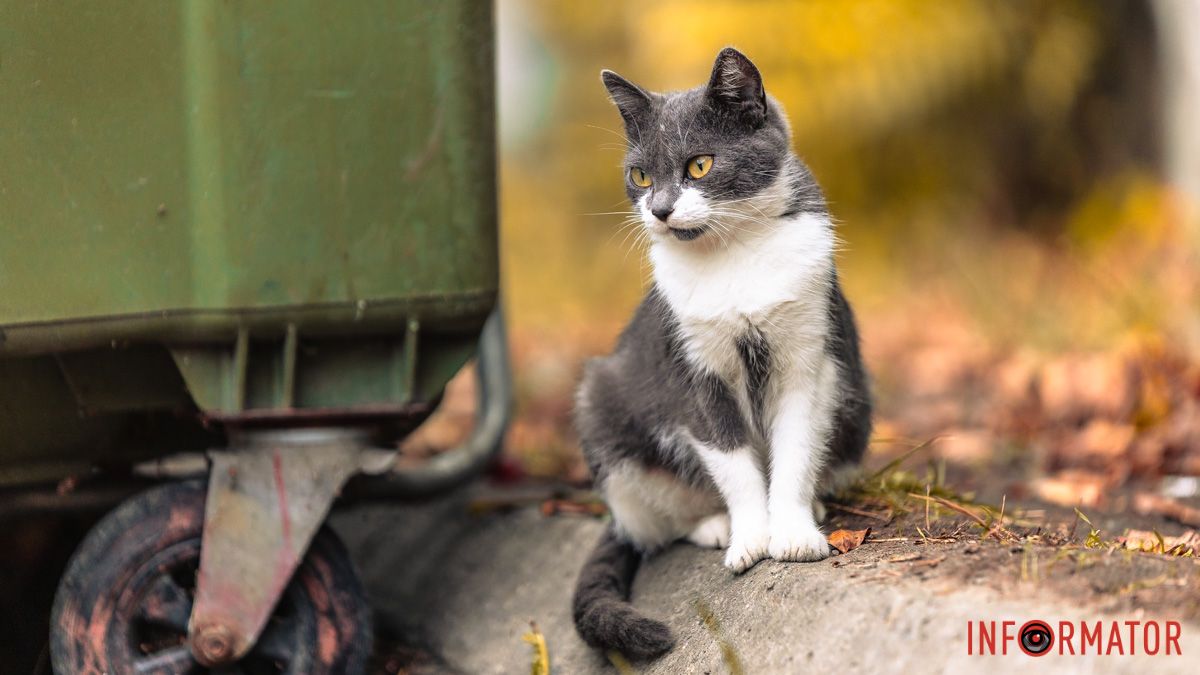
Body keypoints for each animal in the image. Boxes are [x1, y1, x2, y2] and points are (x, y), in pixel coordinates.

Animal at [571, 48, 873, 658]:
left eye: (700, 166)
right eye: (640, 175)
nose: (660, 210)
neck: (734, 254)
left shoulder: (809, 358)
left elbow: (796, 447)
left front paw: (794, 532)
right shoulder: (695, 372)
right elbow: (732, 462)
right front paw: (750, 538)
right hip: (600, 406)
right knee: (653, 522)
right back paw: (713, 525)